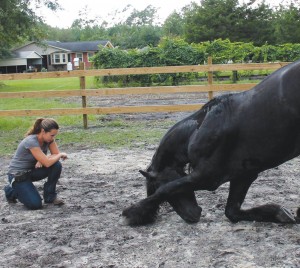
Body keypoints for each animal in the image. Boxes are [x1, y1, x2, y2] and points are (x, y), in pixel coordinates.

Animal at [122, 60, 300, 226]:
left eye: (156, 184)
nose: (192, 216)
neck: (200, 130)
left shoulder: (207, 177)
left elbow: (167, 188)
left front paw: (132, 213)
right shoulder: (243, 175)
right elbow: (232, 212)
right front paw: (281, 213)